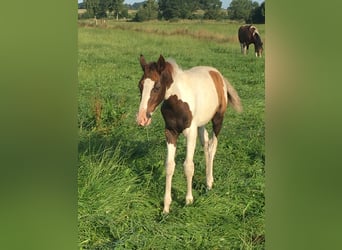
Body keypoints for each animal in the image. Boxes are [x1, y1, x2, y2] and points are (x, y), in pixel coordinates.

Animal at [136, 54, 243, 213]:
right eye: (140, 85)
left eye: (157, 87)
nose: (142, 119)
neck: (177, 100)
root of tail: (217, 74)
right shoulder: (170, 132)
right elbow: (170, 166)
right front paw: (166, 207)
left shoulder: (190, 133)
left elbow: (188, 166)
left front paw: (188, 200)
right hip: (201, 124)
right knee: (206, 145)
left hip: (218, 120)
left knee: (212, 147)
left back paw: (209, 183)